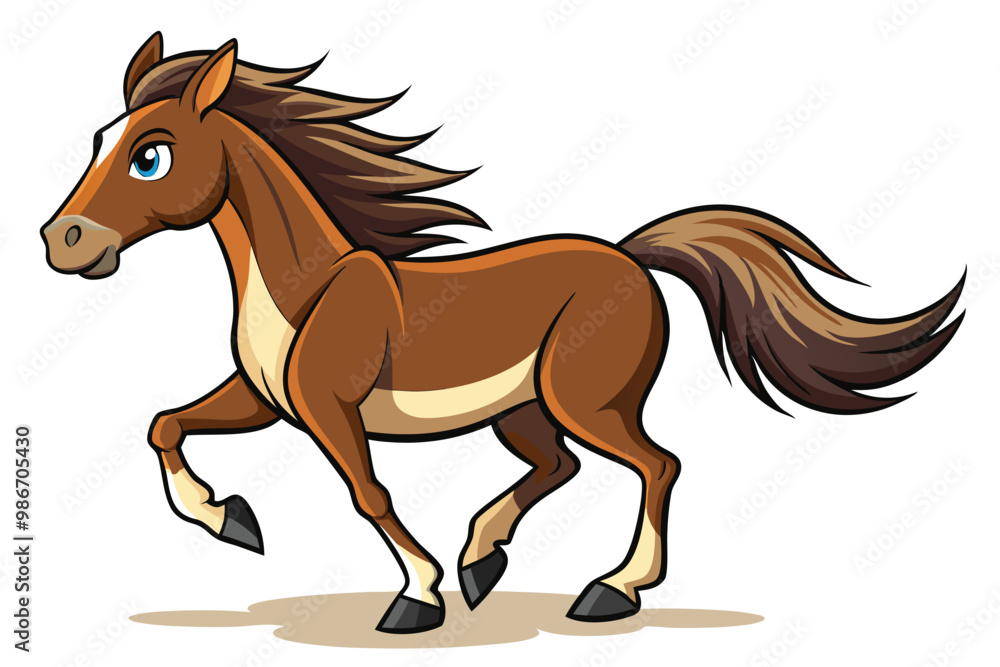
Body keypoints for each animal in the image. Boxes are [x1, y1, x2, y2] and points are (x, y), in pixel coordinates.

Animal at [40, 33, 965, 634]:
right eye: (97, 139)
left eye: (151, 155)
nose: (62, 241)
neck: (303, 286)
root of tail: (631, 256)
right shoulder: (268, 402)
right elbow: (166, 424)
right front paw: (233, 518)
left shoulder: (329, 411)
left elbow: (368, 494)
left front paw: (415, 597)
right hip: (525, 412)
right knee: (560, 467)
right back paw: (486, 561)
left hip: (587, 400)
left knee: (655, 464)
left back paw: (610, 589)